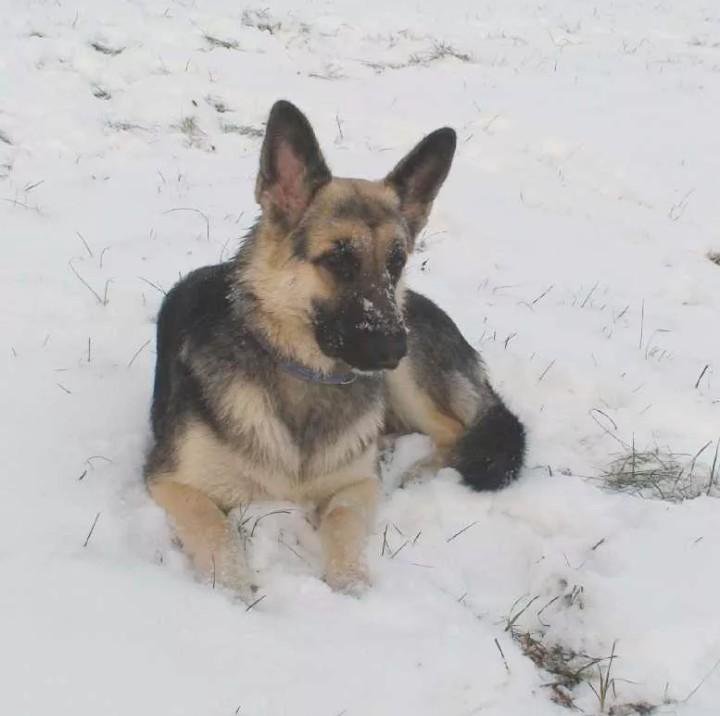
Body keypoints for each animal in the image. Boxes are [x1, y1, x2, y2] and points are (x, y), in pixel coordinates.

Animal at [143, 98, 524, 596]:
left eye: (397, 261)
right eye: (339, 259)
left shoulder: (356, 487)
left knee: (454, 429)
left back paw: (417, 471)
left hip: (409, 384)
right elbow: (216, 530)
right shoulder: (174, 483)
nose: (393, 349)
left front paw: (351, 585)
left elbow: (343, 520)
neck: (303, 373)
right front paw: (235, 591)